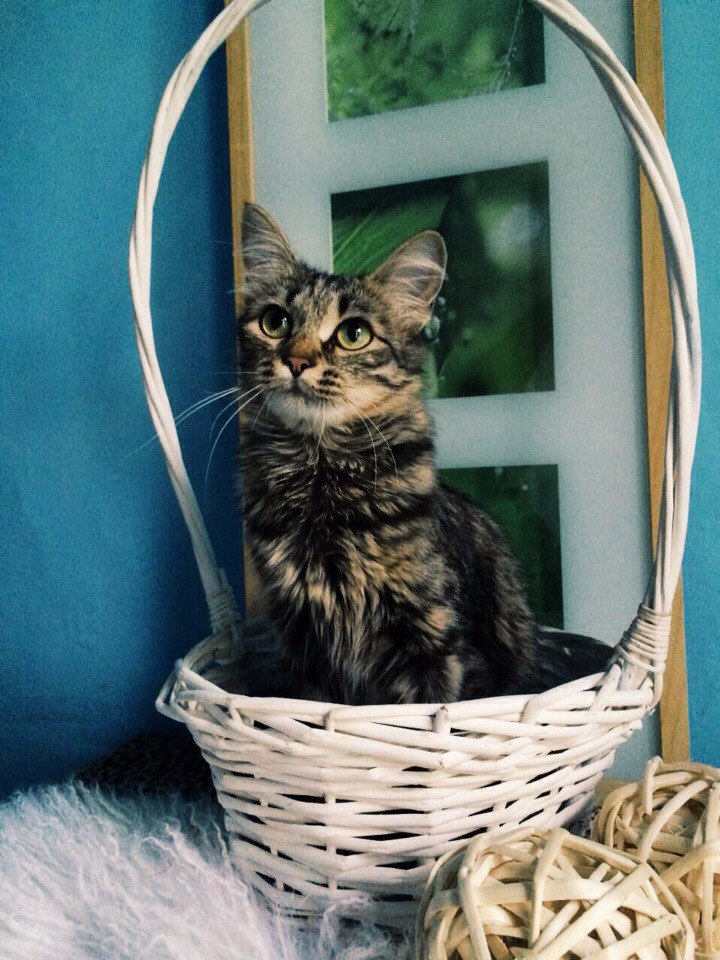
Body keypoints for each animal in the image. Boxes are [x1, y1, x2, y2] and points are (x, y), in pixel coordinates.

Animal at [236, 202, 609, 705]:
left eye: (354, 334)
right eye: (275, 323)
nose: (296, 361)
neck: (320, 478)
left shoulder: (436, 642)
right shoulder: (302, 646)